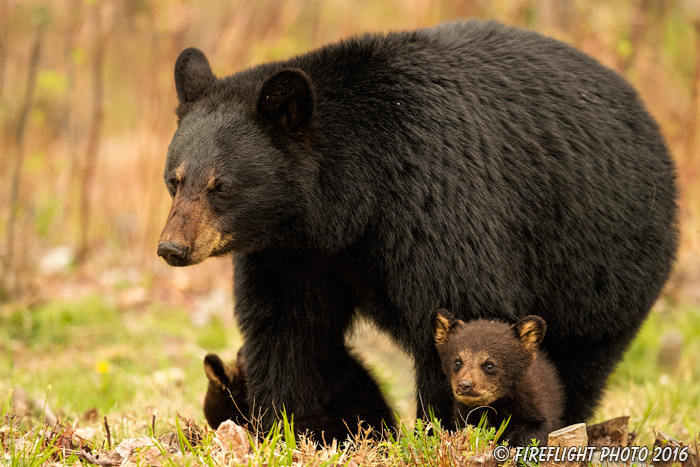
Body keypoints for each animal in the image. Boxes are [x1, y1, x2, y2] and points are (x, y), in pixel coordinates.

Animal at [159, 17, 680, 436]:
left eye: (220, 186)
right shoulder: (292, 250)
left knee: (581, 354)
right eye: (174, 179)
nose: (172, 248)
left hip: (603, 254)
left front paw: (449, 426)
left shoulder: (434, 194)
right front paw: (300, 426)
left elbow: (459, 303)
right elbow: (289, 327)